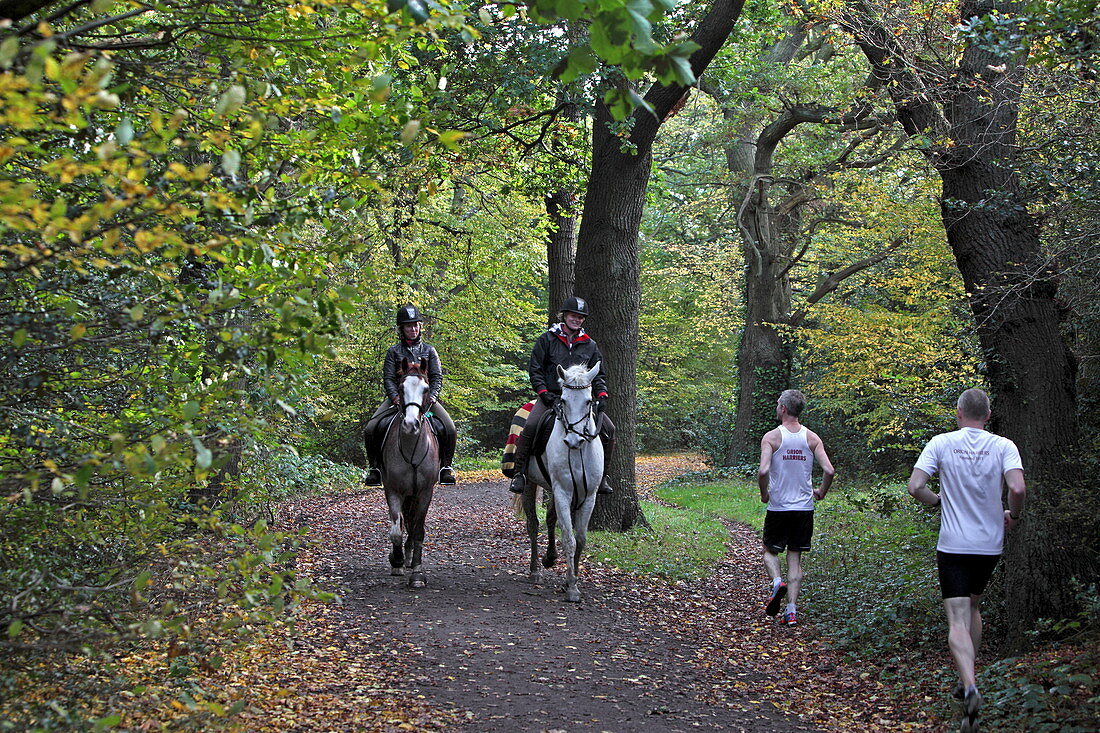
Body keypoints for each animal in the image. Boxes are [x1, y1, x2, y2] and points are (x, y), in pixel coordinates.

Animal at [378, 356, 437, 585]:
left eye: (426, 388)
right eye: (401, 388)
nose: (411, 425)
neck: (412, 447)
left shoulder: (425, 492)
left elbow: (418, 531)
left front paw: (417, 573)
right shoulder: (393, 490)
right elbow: (396, 530)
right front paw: (397, 561)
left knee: (412, 526)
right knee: (405, 523)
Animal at [521, 358, 607, 598]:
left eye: (589, 401)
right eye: (563, 400)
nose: (573, 441)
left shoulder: (588, 497)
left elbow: (580, 539)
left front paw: (572, 581)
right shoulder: (563, 491)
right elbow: (568, 538)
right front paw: (571, 586)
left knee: (550, 519)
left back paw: (549, 558)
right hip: (530, 484)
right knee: (533, 524)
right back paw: (535, 571)